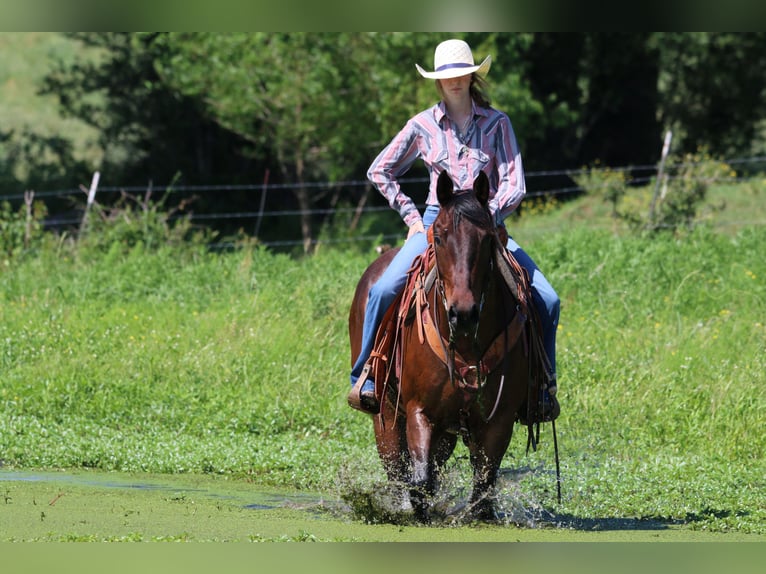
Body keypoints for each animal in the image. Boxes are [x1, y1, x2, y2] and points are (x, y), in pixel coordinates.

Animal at [352, 170, 536, 520]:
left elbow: (483, 489)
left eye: (487, 238)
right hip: (385, 415)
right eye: (438, 237)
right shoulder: (419, 411)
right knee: (397, 468)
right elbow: (420, 482)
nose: (462, 313)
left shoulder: (499, 420)